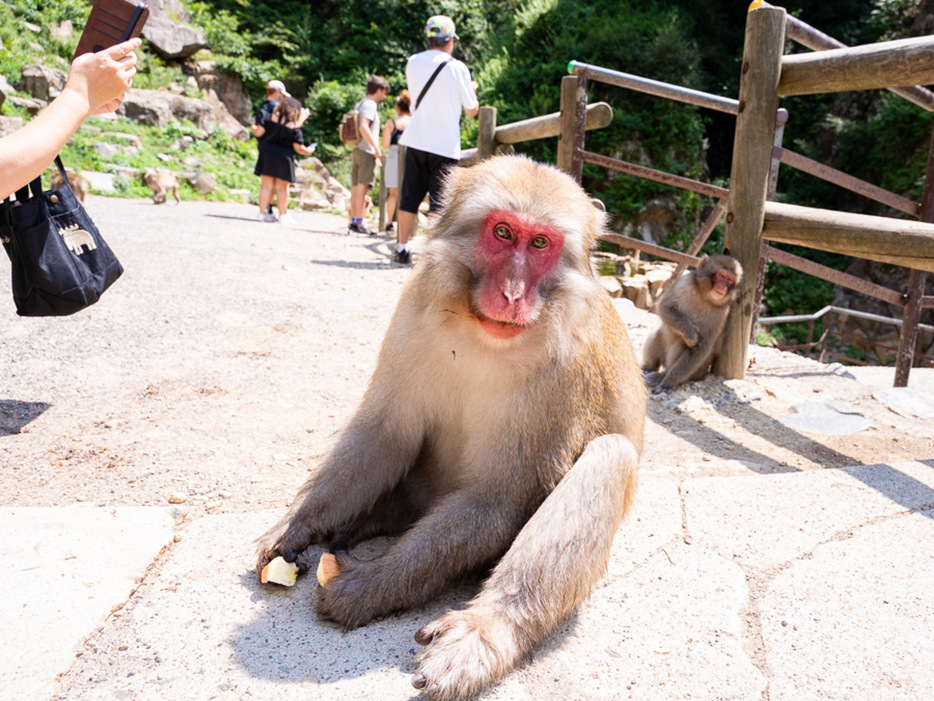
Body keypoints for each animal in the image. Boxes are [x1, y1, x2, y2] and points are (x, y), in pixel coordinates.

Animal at [256, 154, 652, 700]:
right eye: (503, 232)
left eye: (540, 244)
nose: (512, 294)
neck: (480, 331)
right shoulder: (414, 306)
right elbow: (386, 433)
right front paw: (298, 523)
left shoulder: (565, 364)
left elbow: (496, 499)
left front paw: (368, 585)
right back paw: (362, 520)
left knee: (611, 455)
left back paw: (487, 631)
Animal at [644, 252, 744, 394]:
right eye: (722, 275)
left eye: (730, 280)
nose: (723, 287)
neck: (704, 296)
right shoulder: (686, 281)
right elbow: (664, 307)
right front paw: (690, 333)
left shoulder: (722, 313)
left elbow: (701, 346)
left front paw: (669, 382)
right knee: (657, 331)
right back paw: (647, 367)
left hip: (696, 372)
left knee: (681, 343)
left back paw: (662, 375)